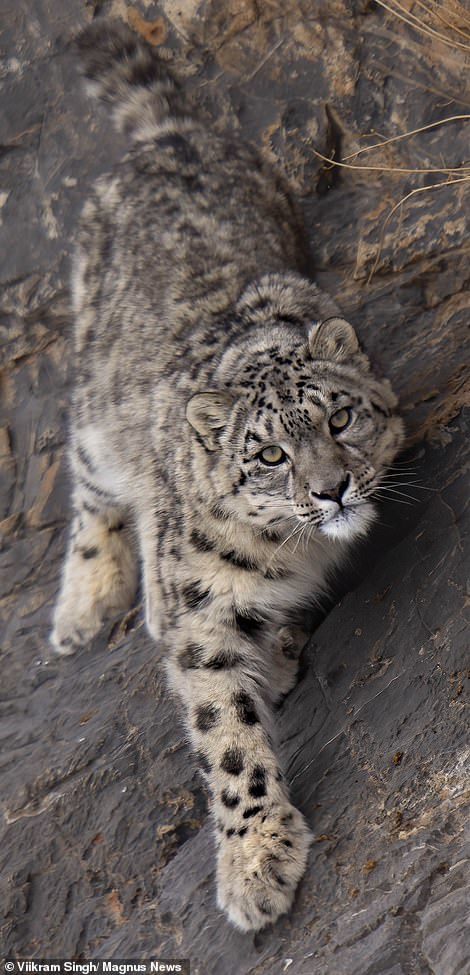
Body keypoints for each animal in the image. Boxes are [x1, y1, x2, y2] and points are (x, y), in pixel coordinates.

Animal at [51, 21, 404, 932]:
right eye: (269, 454)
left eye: (339, 419)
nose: (332, 489)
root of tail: (172, 137)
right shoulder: (206, 612)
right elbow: (225, 734)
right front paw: (255, 862)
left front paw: (277, 652)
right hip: (94, 411)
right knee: (91, 488)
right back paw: (88, 605)